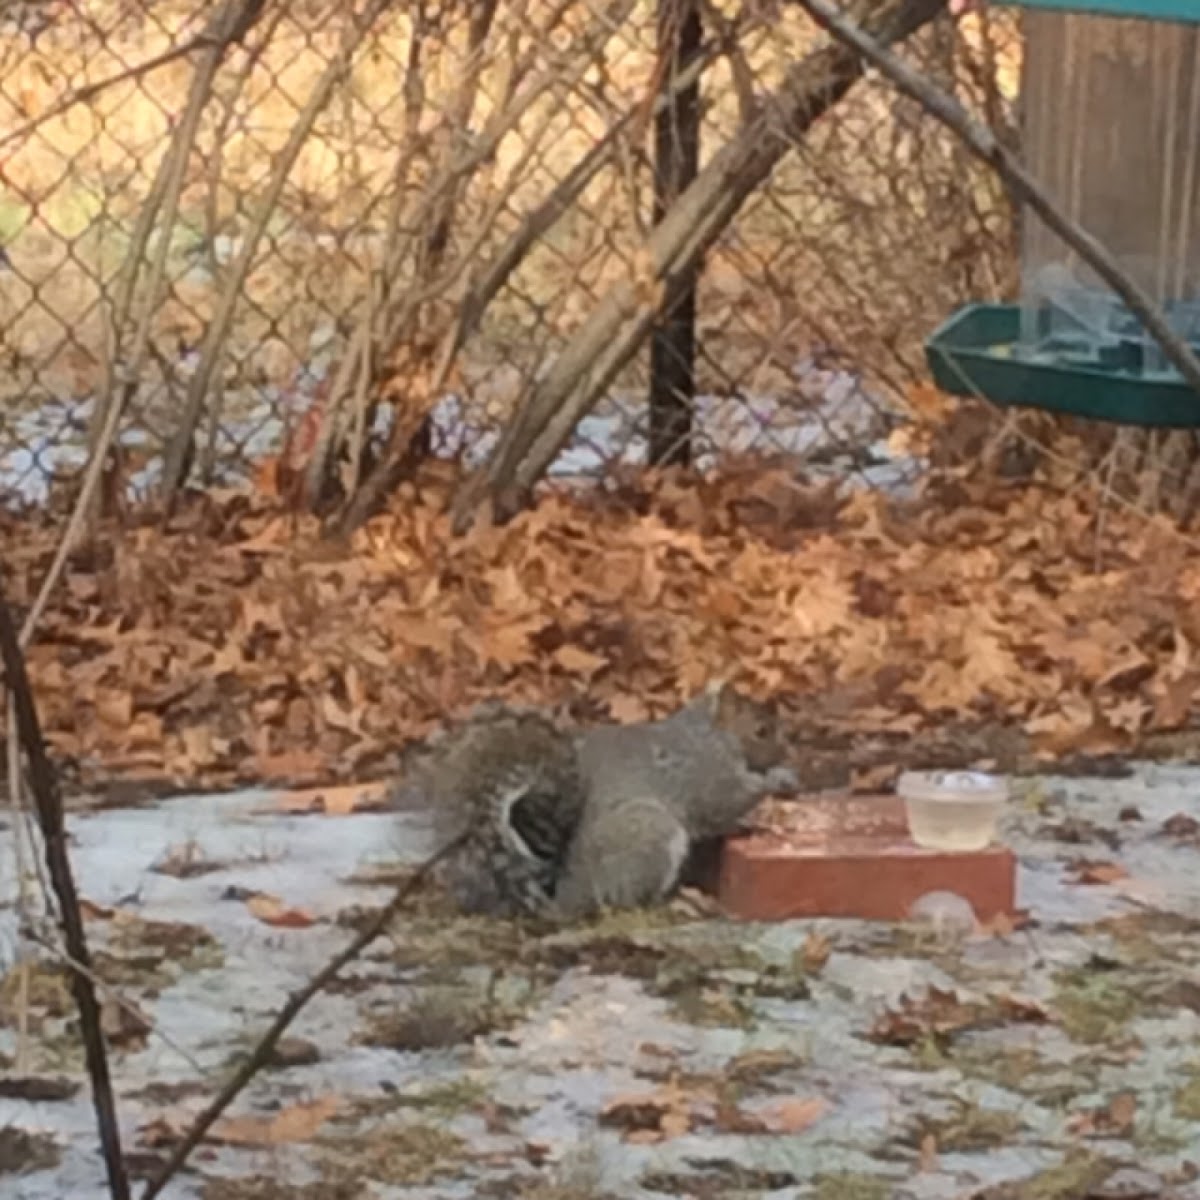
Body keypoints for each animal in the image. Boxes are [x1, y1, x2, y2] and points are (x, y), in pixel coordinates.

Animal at [412, 686, 796, 916]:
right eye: (761, 730)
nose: (788, 751)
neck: (710, 735)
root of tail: (568, 900)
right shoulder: (707, 773)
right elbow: (727, 801)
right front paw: (778, 780)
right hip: (649, 833)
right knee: (629, 902)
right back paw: (677, 903)